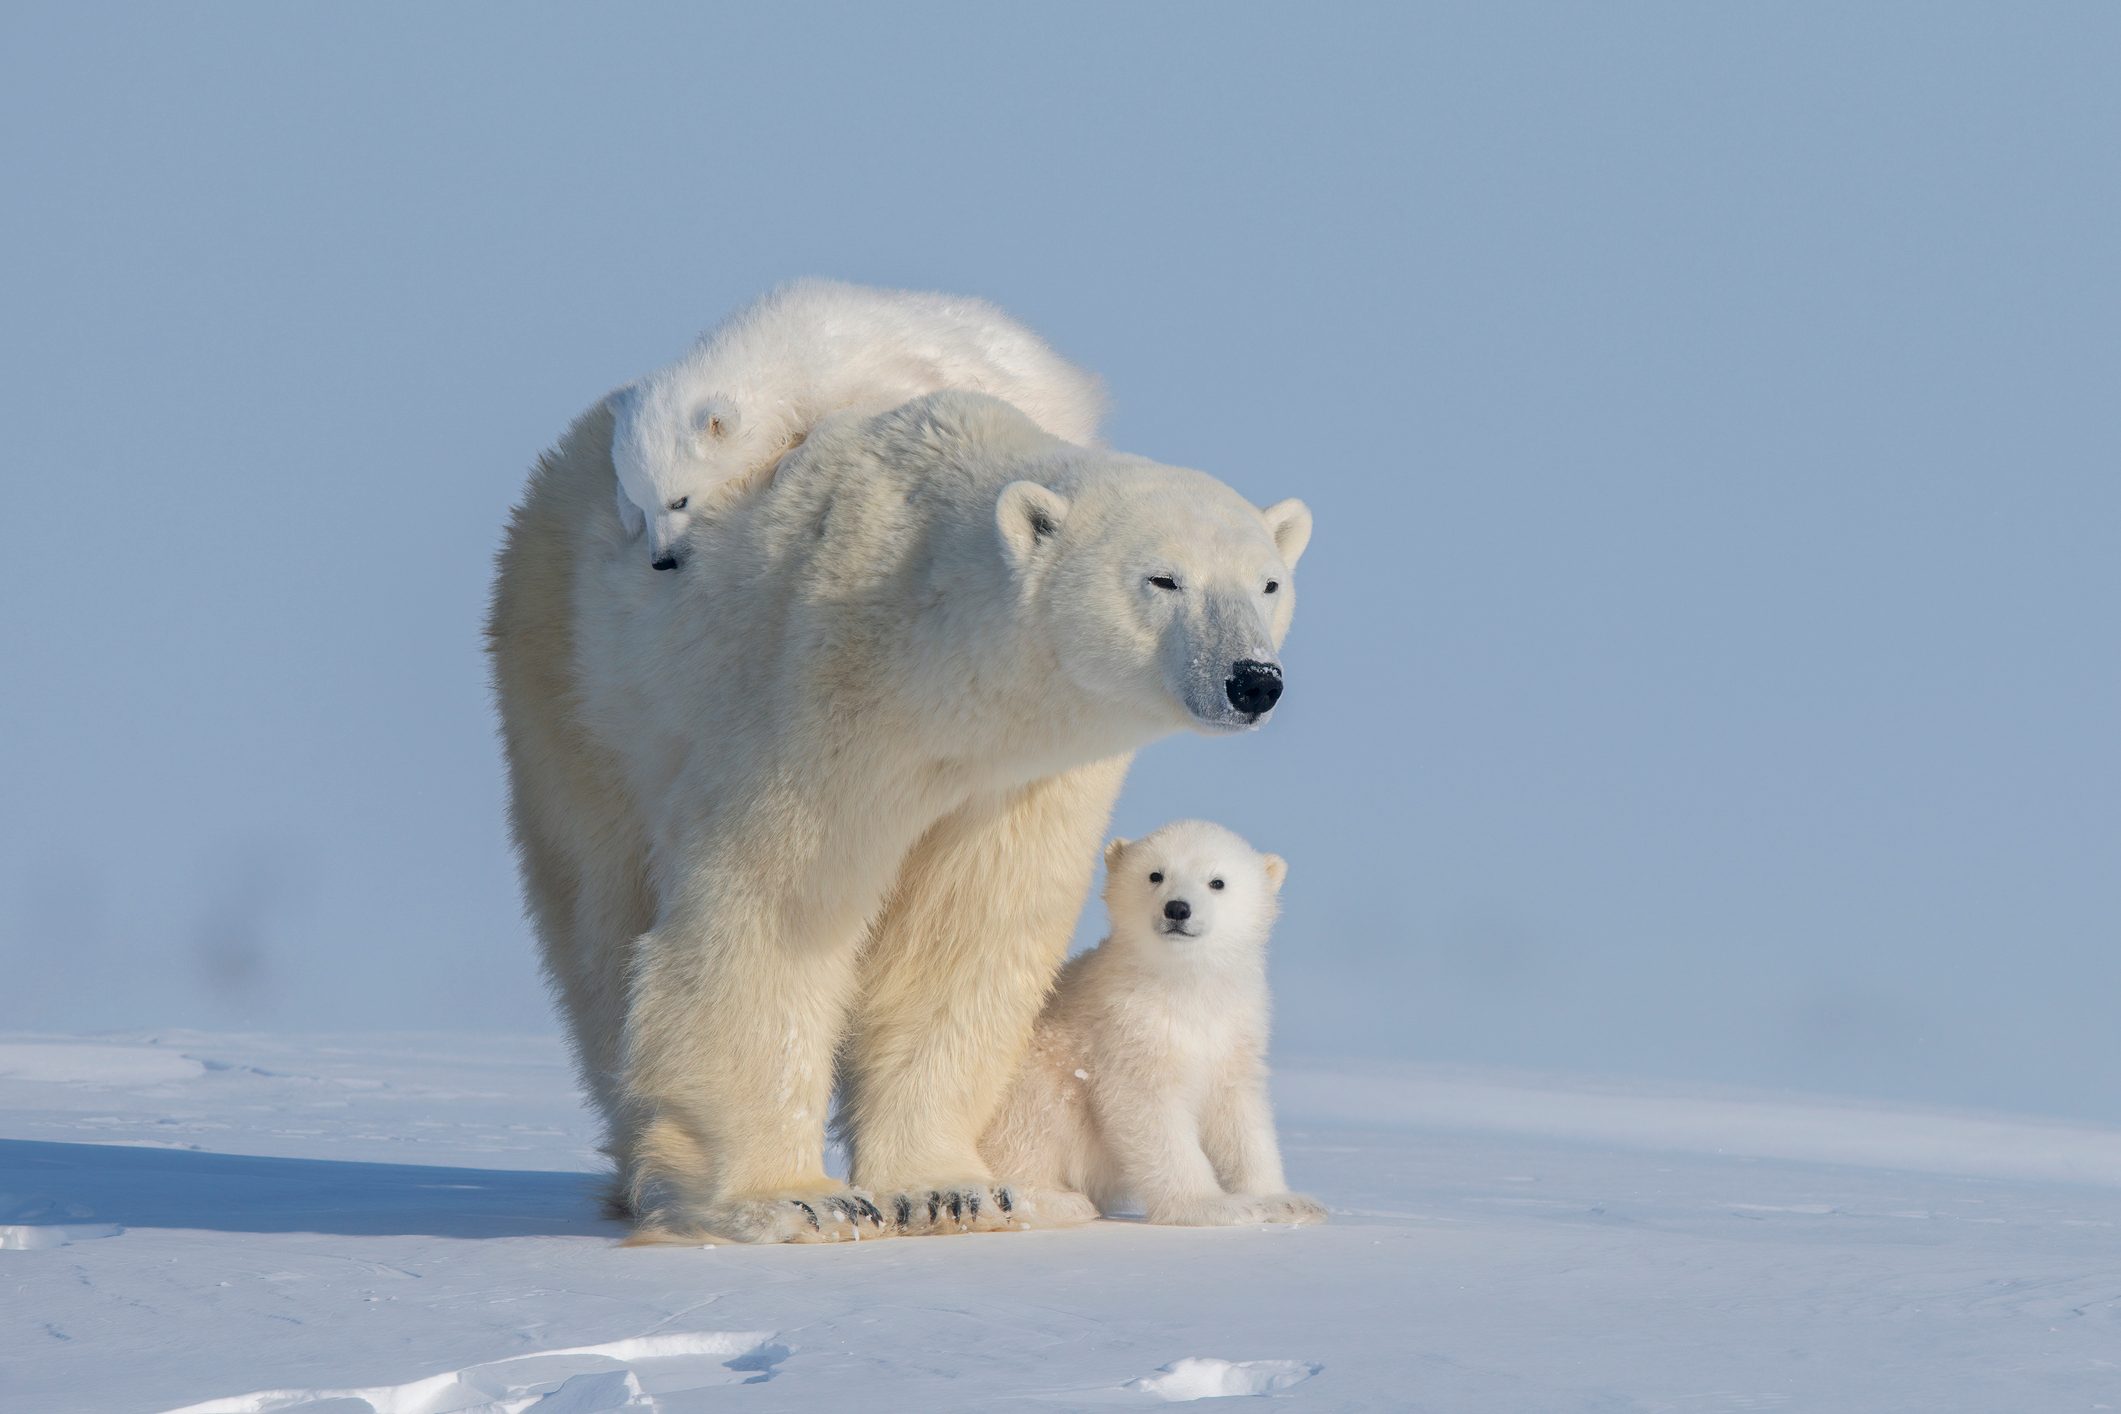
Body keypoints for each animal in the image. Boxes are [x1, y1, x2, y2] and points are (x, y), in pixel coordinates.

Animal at [610, 279, 1105, 571]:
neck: (781, 347)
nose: (661, 560)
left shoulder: (859, 368)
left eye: (680, 500)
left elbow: (885, 398)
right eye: (644, 499)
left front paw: (789, 461)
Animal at [980, 820, 1327, 1226]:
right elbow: (1149, 1111)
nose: (1177, 908)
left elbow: (1240, 1114)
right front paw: (1211, 1206)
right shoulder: (1128, 1029)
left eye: (1217, 882)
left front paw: (1286, 1201)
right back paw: (1057, 1201)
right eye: (1155, 874)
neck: (1183, 986)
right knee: (1032, 1122)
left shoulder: (1234, 1029)